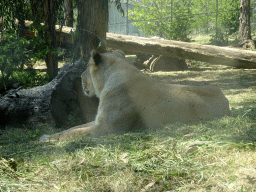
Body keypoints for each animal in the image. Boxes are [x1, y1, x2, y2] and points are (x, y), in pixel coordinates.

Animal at [39, 49, 231, 142]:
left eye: (86, 67)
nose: (80, 77)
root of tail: (226, 99)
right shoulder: (97, 122)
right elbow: (71, 129)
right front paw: (46, 136)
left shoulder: (106, 129)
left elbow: (73, 133)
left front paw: (45, 139)